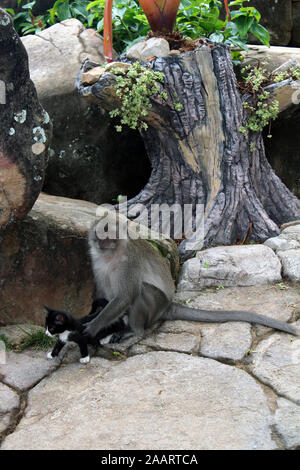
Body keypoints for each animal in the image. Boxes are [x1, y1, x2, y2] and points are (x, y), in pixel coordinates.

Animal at [83, 215, 298, 340]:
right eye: (100, 236)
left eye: (109, 237)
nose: (102, 244)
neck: (110, 255)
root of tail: (168, 306)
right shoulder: (96, 260)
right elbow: (102, 293)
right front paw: (92, 317)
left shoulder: (130, 262)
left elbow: (126, 296)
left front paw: (93, 327)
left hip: (156, 305)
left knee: (141, 291)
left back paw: (134, 331)